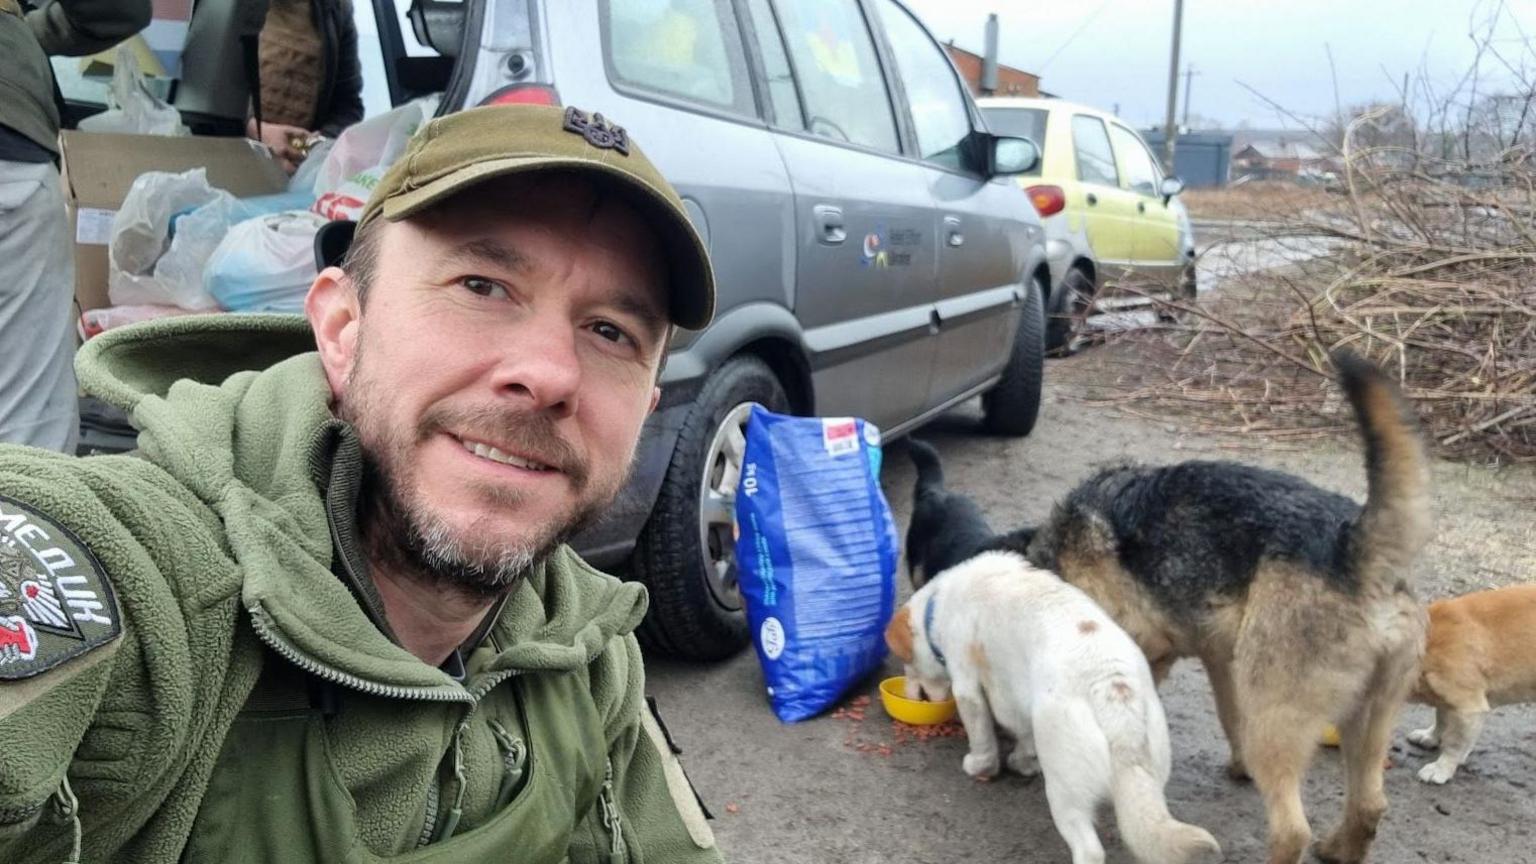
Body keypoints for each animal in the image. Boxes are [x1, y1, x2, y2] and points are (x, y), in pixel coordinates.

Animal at [884, 550, 1216, 860]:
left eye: (908, 665)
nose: (915, 695)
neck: (938, 604)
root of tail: (1112, 690)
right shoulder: (1017, 699)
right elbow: (1023, 738)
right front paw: (1022, 762)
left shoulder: (967, 686)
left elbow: (983, 741)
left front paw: (980, 765)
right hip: (1149, 774)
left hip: (1063, 790)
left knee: (1089, 849)